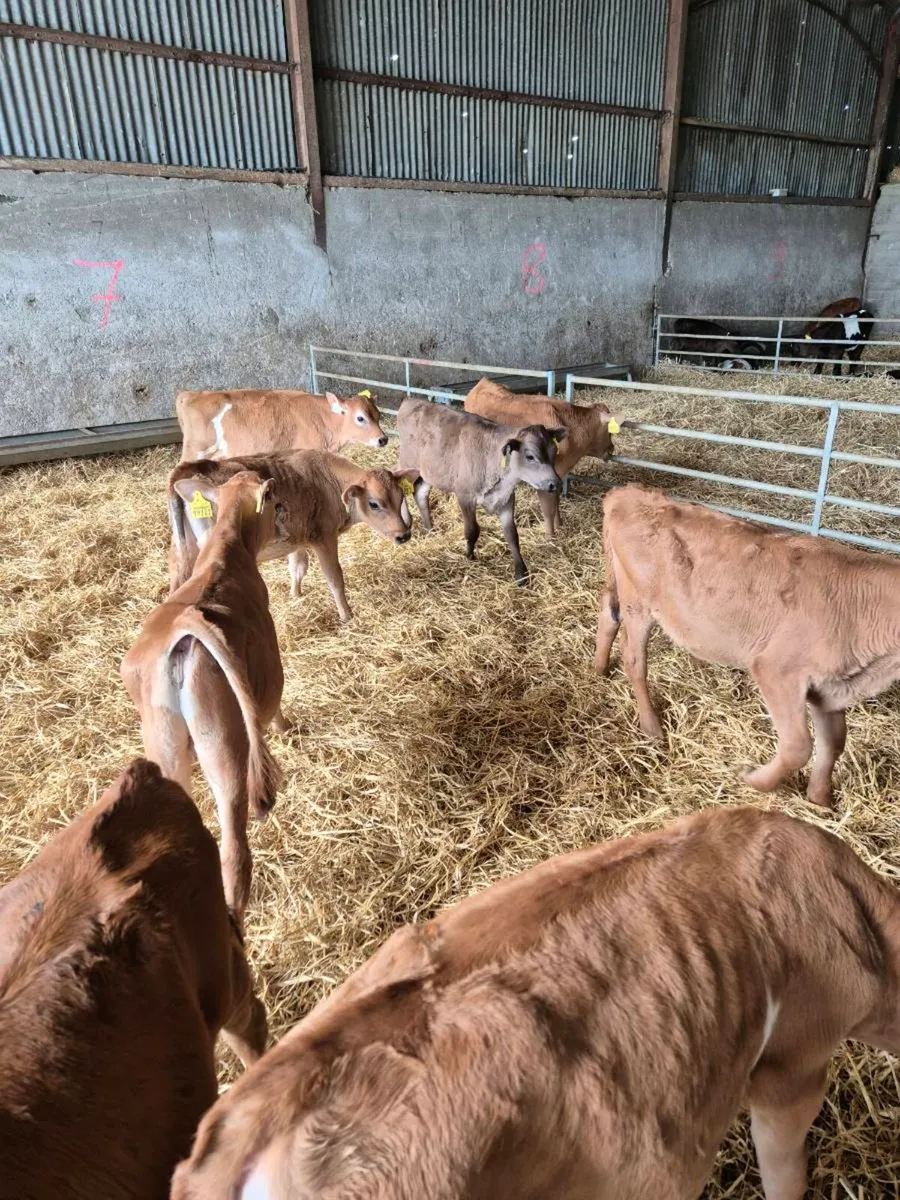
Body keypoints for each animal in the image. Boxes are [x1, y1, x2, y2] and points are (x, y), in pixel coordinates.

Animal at [121, 470, 284, 919]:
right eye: (274, 502)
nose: (283, 520)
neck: (222, 553)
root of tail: (184, 633)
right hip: (225, 747)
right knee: (234, 853)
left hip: (165, 747)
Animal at [167, 451, 412, 622]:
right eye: (374, 504)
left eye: (401, 496)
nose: (404, 535)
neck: (327, 480)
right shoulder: (324, 537)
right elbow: (334, 577)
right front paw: (346, 615)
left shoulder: (297, 540)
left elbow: (298, 568)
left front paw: (296, 595)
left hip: (182, 554)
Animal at [393, 397, 563, 585]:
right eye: (530, 456)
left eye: (554, 451)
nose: (555, 483)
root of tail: (410, 400)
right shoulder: (465, 496)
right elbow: (472, 530)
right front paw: (470, 556)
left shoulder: (506, 499)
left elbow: (512, 536)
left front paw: (521, 574)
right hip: (408, 463)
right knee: (396, 478)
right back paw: (407, 520)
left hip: (429, 472)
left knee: (420, 492)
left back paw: (430, 528)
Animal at [462, 377, 621, 538]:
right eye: (609, 431)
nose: (612, 448)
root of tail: (482, 382)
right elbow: (548, 509)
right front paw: (551, 536)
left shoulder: (557, 476)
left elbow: (556, 502)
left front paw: (560, 525)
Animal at [595, 484, 900, 806]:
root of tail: (630, 493)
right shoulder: (776, 670)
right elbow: (798, 747)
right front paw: (754, 778)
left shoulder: (829, 687)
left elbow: (834, 742)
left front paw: (820, 800)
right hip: (638, 603)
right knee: (634, 659)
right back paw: (651, 727)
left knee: (608, 613)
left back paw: (599, 669)